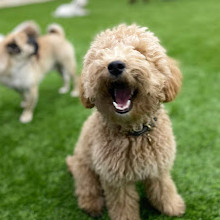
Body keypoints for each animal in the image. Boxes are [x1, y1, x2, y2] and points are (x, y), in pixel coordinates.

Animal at [67, 24, 186, 220]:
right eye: (103, 52)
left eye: (139, 51)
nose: (115, 65)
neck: (134, 132)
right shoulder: (115, 179)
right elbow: (123, 206)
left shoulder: (158, 167)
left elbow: (164, 189)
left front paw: (172, 207)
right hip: (85, 168)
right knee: (86, 187)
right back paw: (92, 205)